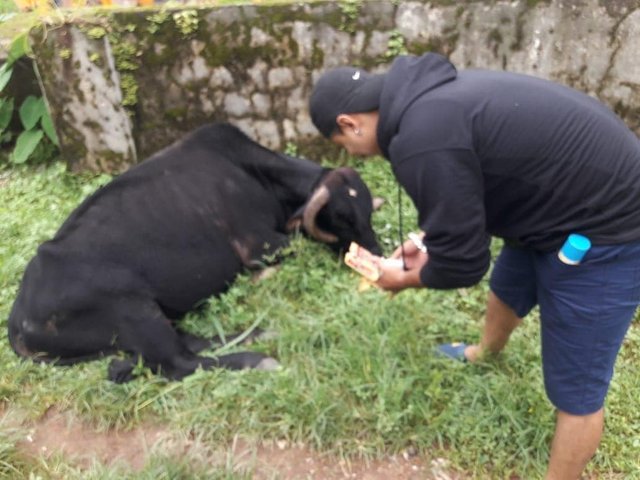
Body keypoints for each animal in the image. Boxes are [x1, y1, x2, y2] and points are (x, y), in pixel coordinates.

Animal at [7, 123, 382, 382]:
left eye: (368, 212)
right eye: (343, 217)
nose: (376, 253)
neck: (252, 173)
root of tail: (18, 314)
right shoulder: (257, 244)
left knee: (189, 343)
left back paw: (263, 333)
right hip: (132, 308)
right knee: (178, 362)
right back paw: (257, 358)